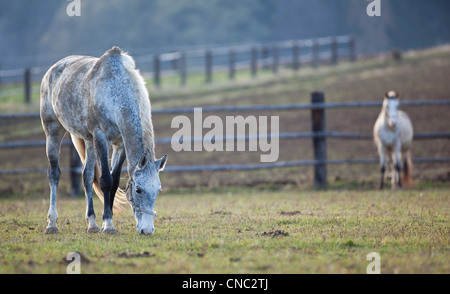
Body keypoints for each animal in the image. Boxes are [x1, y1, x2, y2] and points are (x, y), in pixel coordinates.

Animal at [40, 46, 167, 234]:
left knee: (87, 176)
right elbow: (106, 180)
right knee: (54, 174)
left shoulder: (120, 145)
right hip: (53, 130)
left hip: (88, 141)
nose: (147, 230)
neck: (115, 91)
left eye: (158, 190)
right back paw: (52, 224)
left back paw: (92, 224)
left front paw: (107, 221)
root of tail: (52, 70)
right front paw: (108, 225)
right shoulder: (101, 138)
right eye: (138, 190)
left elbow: (114, 182)